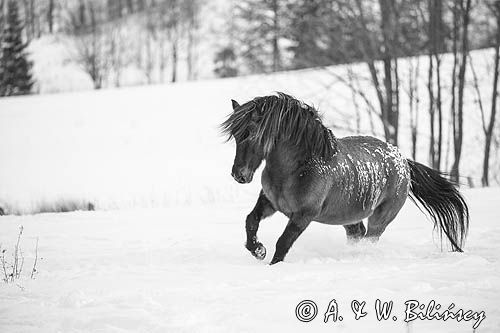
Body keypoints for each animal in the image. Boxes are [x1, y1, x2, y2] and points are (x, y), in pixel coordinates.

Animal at [222, 92, 468, 264]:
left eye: (252, 134)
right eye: (235, 135)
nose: (239, 175)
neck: (296, 170)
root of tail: (403, 161)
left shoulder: (303, 215)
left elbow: (283, 243)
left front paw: (272, 264)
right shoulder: (270, 202)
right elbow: (251, 220)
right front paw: (258, 250)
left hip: (380, 218)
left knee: (369, 238)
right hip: (349, 218)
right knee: (358, 234)